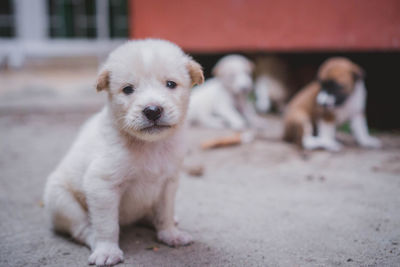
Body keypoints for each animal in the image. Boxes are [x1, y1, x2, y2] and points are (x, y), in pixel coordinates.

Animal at [43, 38, 203, 266]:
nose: (152, 110)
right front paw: (107, 250)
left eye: (171, 84)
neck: (149, 145)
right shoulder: (102, 185)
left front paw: (170, 233)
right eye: (128, 89)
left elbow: (165, 211)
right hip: (62, 202)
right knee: (83, 229)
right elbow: (107, 225)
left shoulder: (168, 182)